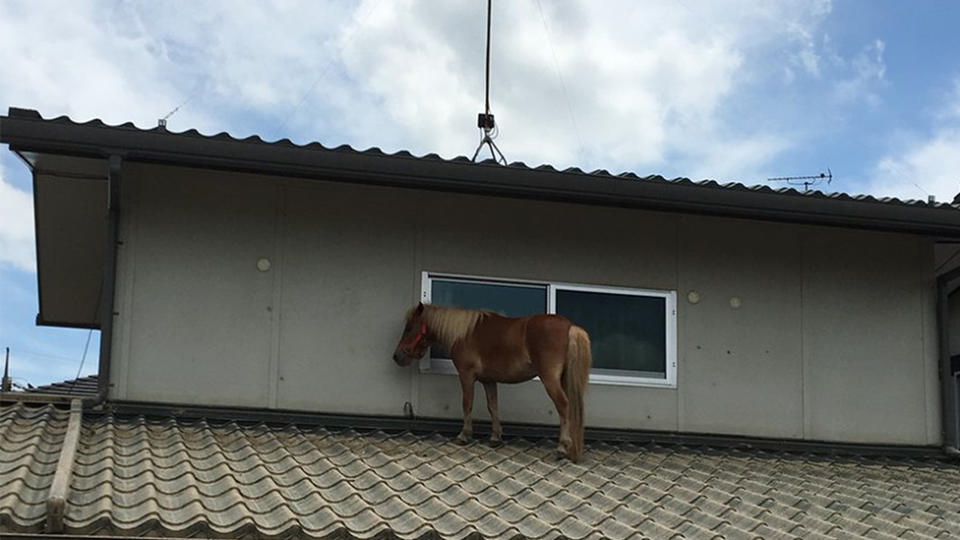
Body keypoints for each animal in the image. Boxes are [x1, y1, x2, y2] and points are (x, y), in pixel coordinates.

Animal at [392, 302, 592, 462]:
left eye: (409, 328)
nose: (397, 356)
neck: (464, 333)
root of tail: (571, 327)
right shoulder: (488, 381)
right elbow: (492, 406)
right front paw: (495, 437)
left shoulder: (466, 375)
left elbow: (467, 403)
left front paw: (464, 435)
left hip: (550, 379)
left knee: (563, 406)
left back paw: (562, 447)